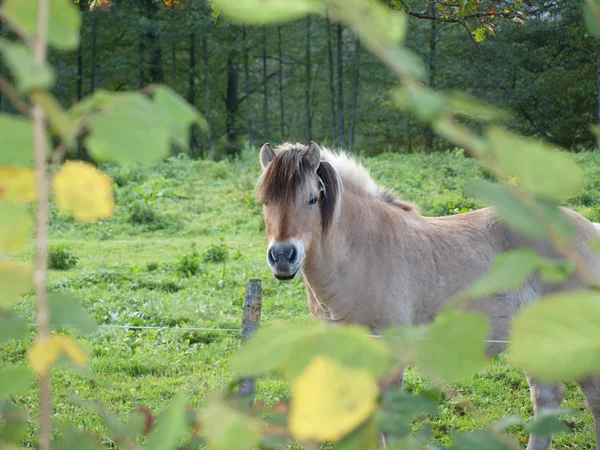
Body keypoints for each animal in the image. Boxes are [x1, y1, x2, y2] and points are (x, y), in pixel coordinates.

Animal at [255, 141, 600, 450]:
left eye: (312, 199)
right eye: (265, 202)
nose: (283, 256)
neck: (363, 251)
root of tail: (589, 230)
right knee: (547, 397)